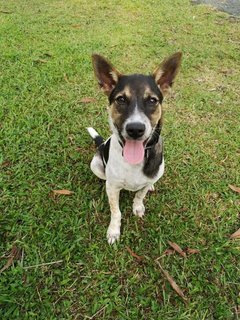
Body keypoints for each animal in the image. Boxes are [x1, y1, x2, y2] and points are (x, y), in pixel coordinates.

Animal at [87, 52, 182, 244]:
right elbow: (116, 211)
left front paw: (138, 206)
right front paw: (114, 231)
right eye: (121, 99)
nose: (136, 129)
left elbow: (140, 194)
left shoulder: (147, 180)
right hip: (96, 165)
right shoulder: (113, 188)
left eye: (152, 100)